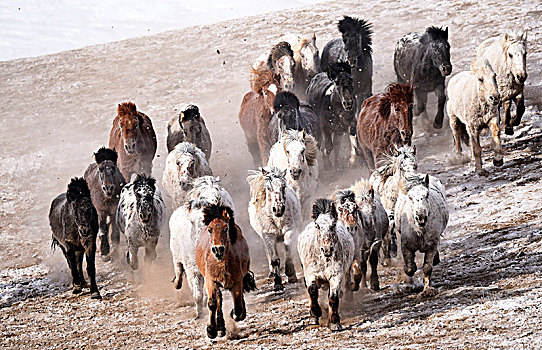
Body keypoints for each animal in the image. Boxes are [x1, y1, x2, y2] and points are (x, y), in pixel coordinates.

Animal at [196, 202, 258, 340]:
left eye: (226, 228)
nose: (218, 249)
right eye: (210, 229)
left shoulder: (237, 281)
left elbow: (238, 308)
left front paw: (234, 313)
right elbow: (212, 303)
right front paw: (211, 330)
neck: (221, 263)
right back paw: (220, 328)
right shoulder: (211, 281)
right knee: (219, 300)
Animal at [300, 198, 354, 330]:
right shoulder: (311, 274)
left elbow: (333, 298)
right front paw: (314, 315)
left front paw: (334, 322)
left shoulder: (336, 276)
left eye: (333, 224)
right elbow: (312, 291)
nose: (327, 249)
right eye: (317, 226)